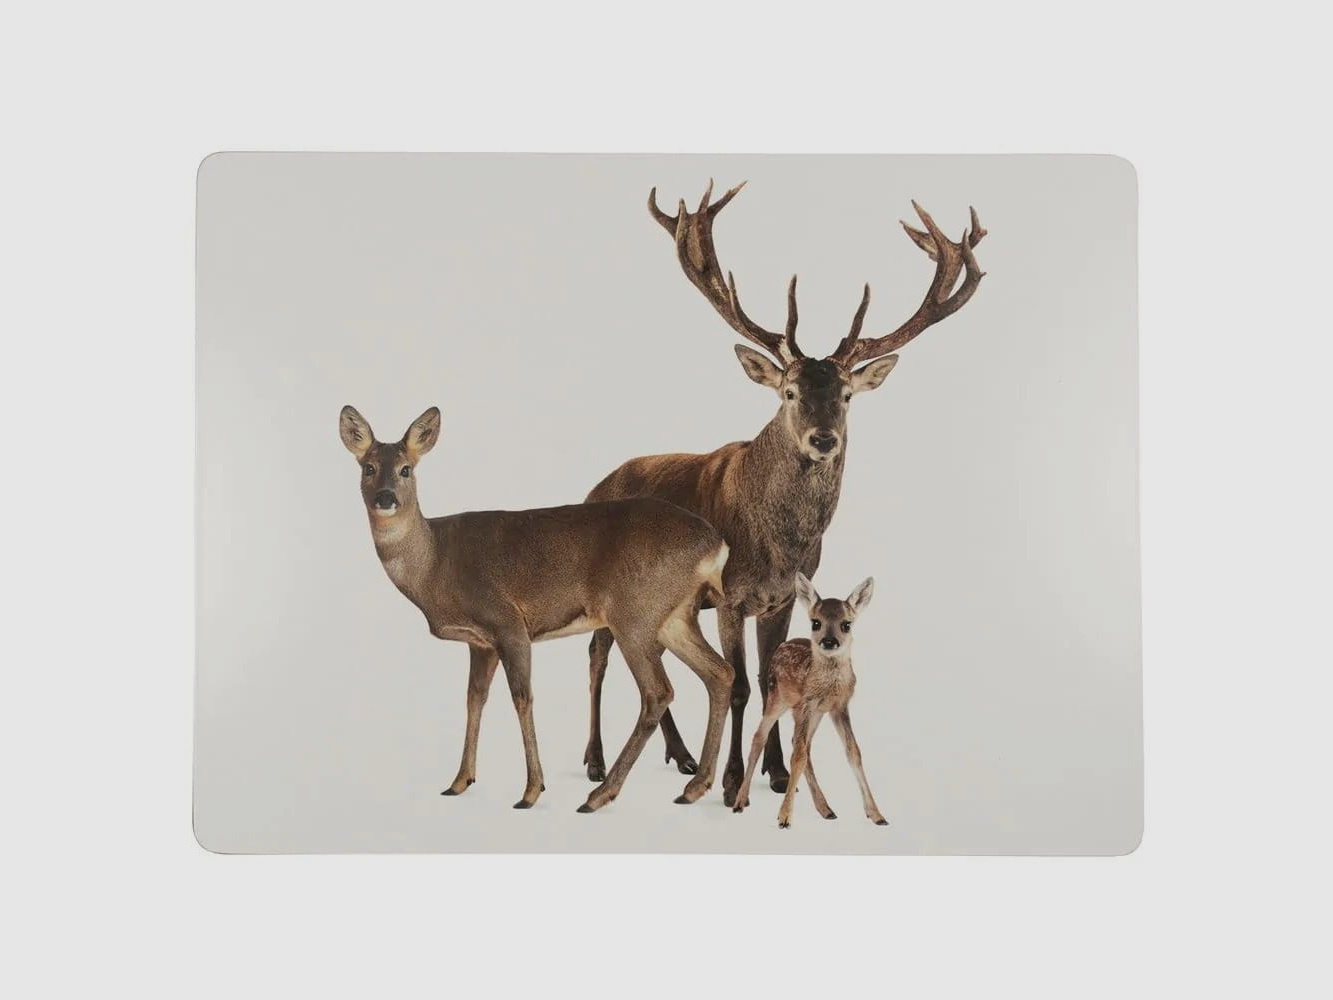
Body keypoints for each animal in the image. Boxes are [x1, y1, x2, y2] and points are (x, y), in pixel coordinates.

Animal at [339, 404, 735, 813]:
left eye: (406, 469)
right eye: (368, 467)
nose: (385, 498)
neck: (436, 564)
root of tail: (715, 545)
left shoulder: (508, 622)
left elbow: (522, 697)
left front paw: (531, 790)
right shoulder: (480, 642)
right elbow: (474, 699)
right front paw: (460, 781)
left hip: (634, 613)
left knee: (658, 691)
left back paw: (600, 794)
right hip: (675, 616)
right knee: (720, 673)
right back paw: (694, 787)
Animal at [732, 573, 886, 828]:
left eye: (846, 624)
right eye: (816, 622)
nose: (829, 641)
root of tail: (781, 646)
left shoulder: (838, 706)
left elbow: (853, 751)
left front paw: (877, 814)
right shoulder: (807, 702)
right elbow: (798, 756)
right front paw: (784, 817)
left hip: (811, 713)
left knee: (800, 743)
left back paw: (826, 809)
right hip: (779, 699)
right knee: (760, 737)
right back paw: (740, 801)